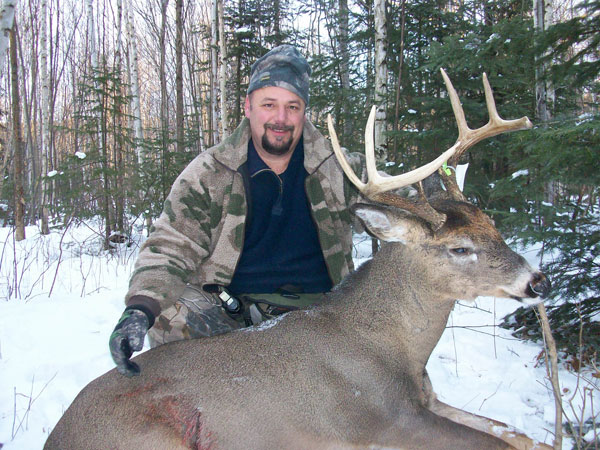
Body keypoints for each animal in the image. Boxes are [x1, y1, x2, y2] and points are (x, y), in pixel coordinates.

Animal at [44, 68, 552, 448]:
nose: (537, 280)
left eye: (494, 226)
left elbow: (520, 435)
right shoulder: (383, 419)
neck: (397, 353)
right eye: (459, 248)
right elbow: (502, 443)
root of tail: (55, 436)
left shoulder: (426, 401)